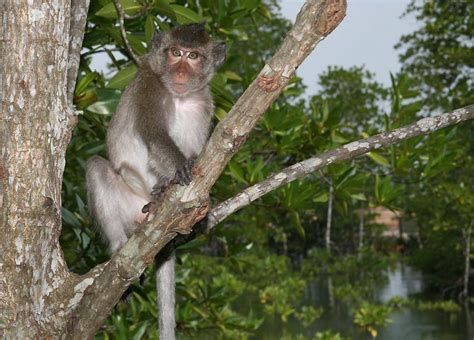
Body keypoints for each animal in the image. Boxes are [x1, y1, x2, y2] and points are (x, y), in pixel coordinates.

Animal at [86, 23, 227, 340]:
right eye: (175, 53)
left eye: (193, 56)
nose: (181, 71)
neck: (180, 97)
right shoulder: (148, 87)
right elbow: (155, 137)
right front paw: (179, 168)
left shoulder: (204, 103)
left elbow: (202, 156)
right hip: (130, 206)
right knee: (97, 168)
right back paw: (119, 244)